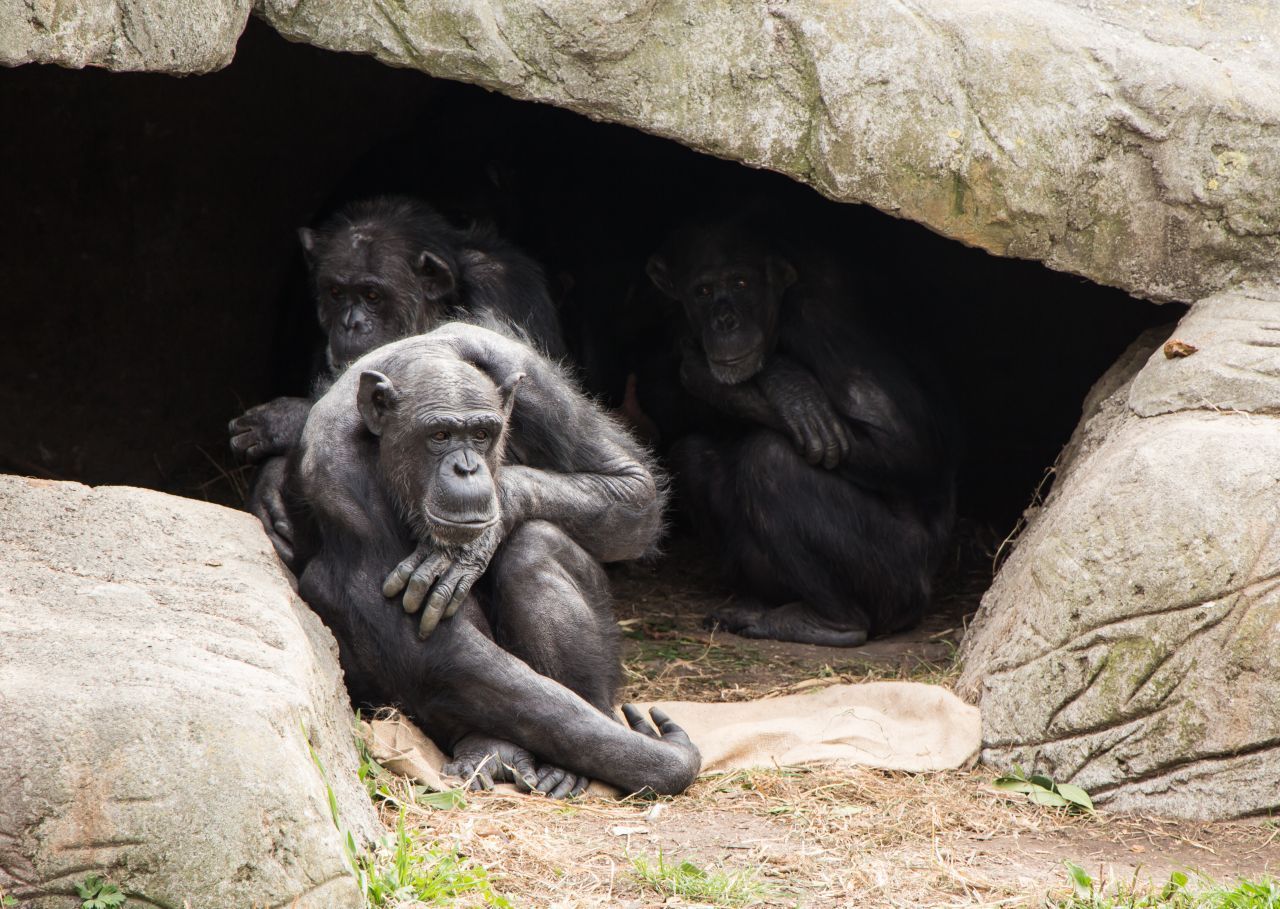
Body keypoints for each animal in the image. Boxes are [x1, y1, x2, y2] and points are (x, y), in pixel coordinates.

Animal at [282, 323, 701, 798]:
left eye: (482, 434)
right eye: (439, 436)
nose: (467, 468)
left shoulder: (531, 375)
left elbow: (633, 489)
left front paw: (476, 542)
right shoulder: (337, 474)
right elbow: (428, 646)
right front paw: (664, 760)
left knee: (535, 547)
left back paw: (574, 752)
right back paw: (488, 747)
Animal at [645, 220, 957, 647]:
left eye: (741, 283)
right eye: (703, 291)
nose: (725, 321)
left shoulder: (822, 324)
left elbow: (905, 445)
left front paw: (784, 382)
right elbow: (662, 400)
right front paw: (784, 384)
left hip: (899, 582)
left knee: (771, 461)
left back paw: (830, 622)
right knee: (690, 455)